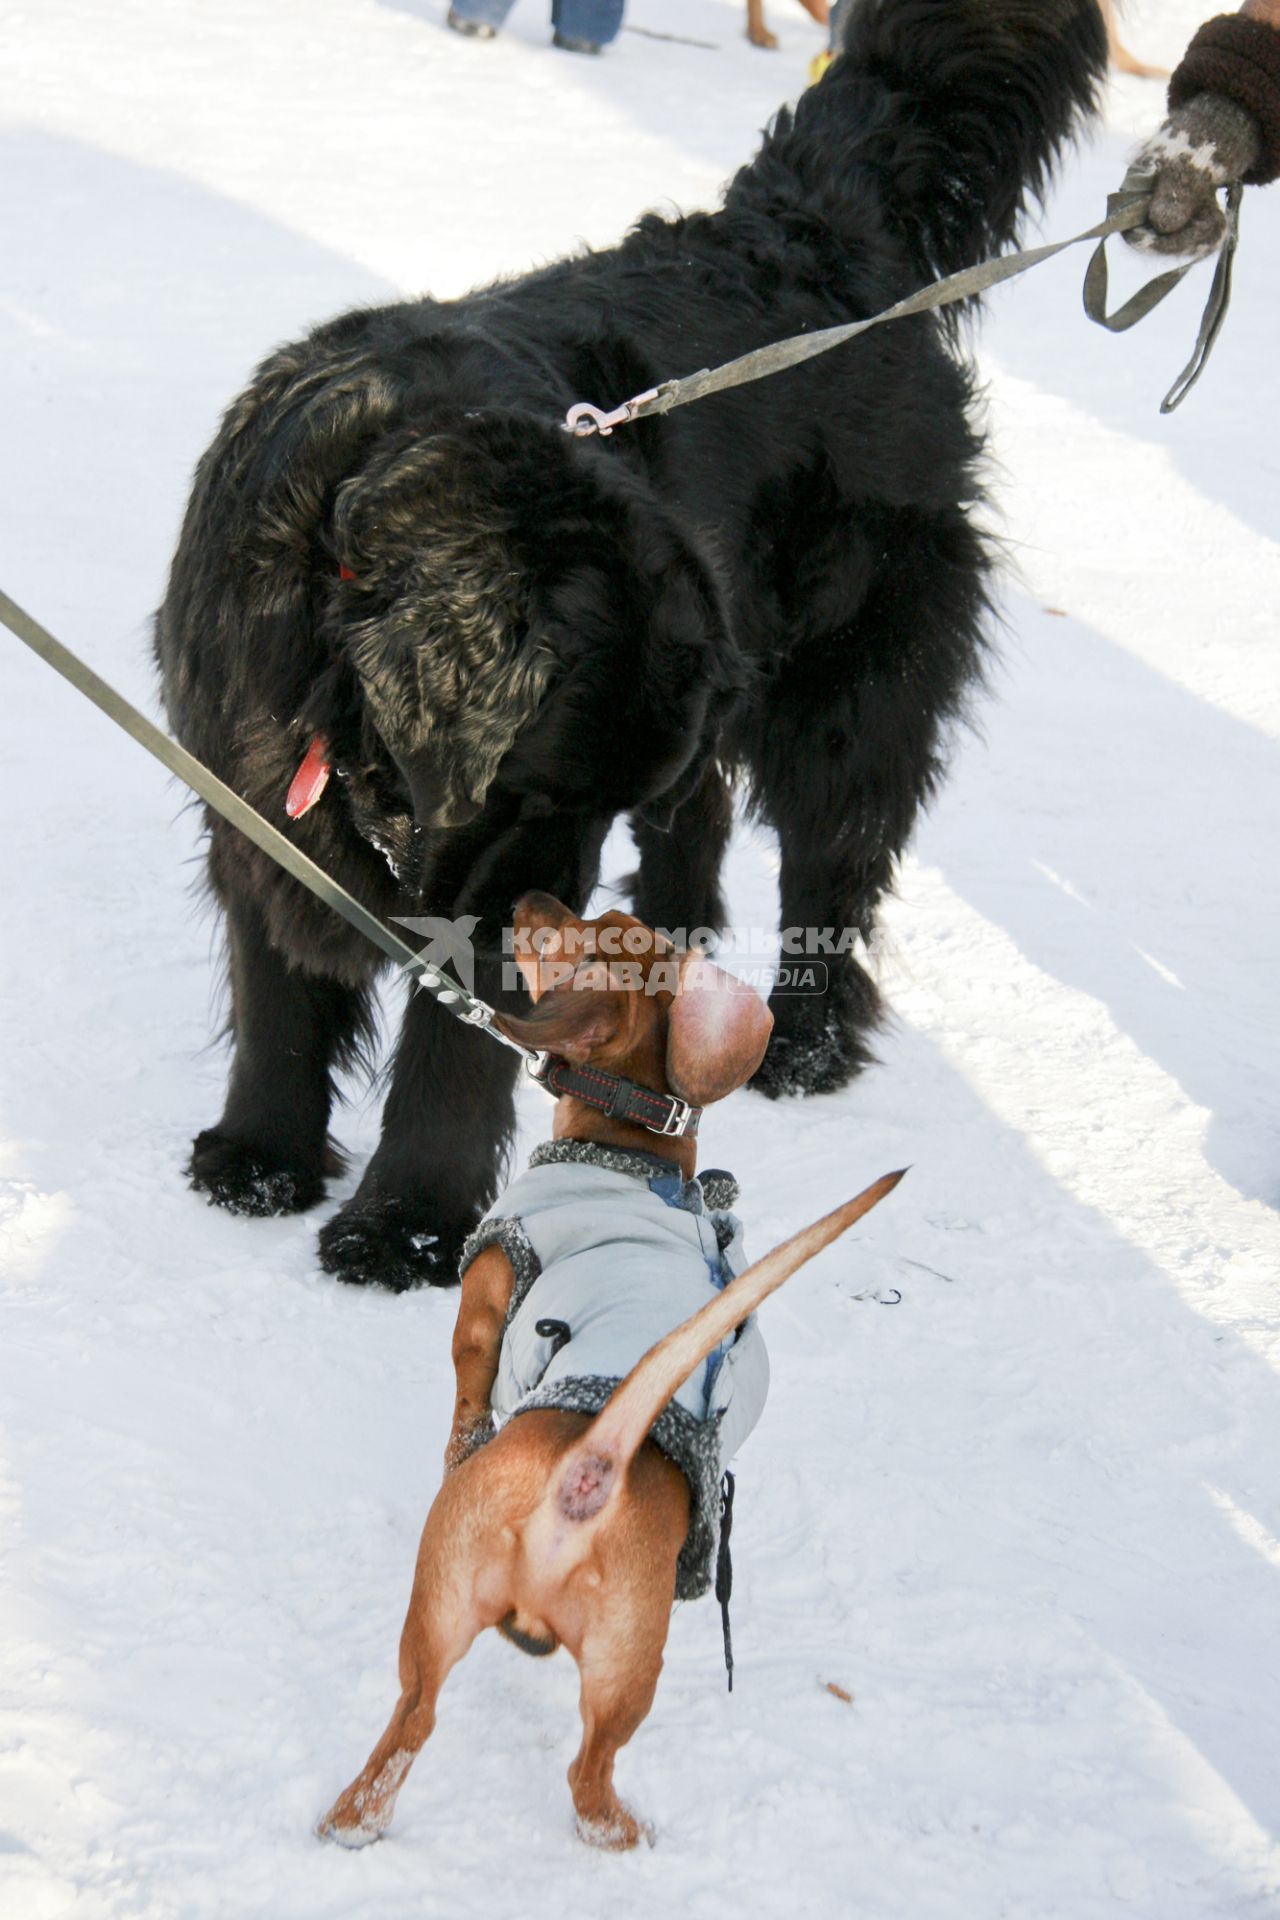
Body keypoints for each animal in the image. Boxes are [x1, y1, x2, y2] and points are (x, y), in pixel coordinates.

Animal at [157, 3, 1105, 1290]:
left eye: (557, 809)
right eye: (527, 790)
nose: (540, 922)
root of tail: (813, 237)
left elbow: (453, 1052)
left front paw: (406, 1225)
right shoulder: (244, 790)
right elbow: (277, 997)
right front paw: (258, 1157)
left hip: (850, 681)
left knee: (834, 856)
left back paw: (802, 1043)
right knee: (698, 810)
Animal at [318, 894, 901, 1843]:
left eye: (585, 929)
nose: (527, 900)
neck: (629, 1149)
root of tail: (590, 1468)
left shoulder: (488, 1293)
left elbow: (465, 1395)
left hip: (478, 1612)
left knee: (510, 1758)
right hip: (585, 1650)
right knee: (493, 1744)